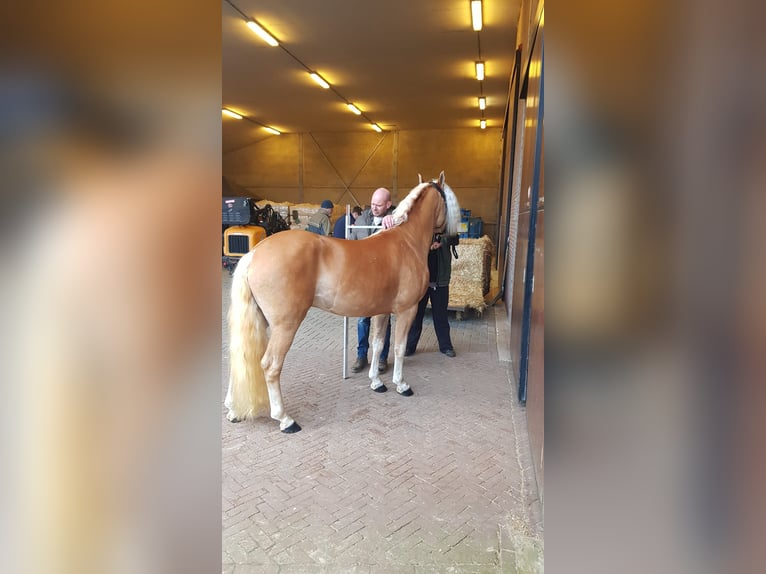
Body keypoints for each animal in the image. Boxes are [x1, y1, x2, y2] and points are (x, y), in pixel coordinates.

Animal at [225, 171, 461, 432]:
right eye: (449, 201)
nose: (455, 238)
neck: (406, 240)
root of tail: (254, 253)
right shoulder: (406, 310)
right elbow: (399, 348)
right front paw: (401, 385)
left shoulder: (382, 311)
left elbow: (378, 344)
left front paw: (376, 382)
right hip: (285, 325)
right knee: (270, 365)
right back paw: (285, 419)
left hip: (261, 320)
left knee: (242, 359)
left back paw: (234, 410)